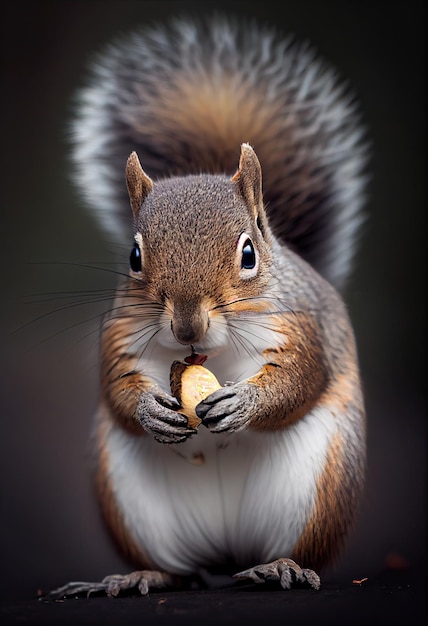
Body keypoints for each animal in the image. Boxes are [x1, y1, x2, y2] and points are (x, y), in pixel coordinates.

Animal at [47, 15, 368, 596]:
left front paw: (245, 403)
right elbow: (114, 383)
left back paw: (278, 566)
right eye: (133, 256)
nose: (187, 324)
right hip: (133, 504)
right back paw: (137, 576)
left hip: (320, 489)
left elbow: (301, 377)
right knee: (180, 571)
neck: (207, 355)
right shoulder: (119, 333)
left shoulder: (301, 324)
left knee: (291, 550)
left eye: (249, 254)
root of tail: (226, 554)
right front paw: (148, 409)